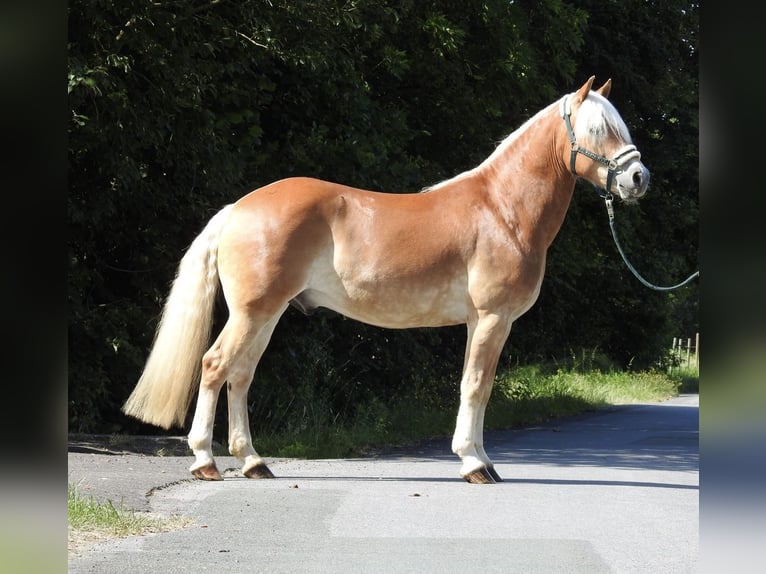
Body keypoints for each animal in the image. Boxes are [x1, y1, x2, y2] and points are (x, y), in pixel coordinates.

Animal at [122, 76, 649, 484]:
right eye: (597, 129)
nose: (638, 178)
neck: (501, 210)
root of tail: (239, 208)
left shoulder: (479, 323)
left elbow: (476, 386)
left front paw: (480, 458)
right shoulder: (493, 318)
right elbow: (476, 386)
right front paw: (473, 464)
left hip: (266, 315)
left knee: (241, 375)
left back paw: (253, 462)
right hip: (254, 313)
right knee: (215, 367)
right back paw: (204, 461)